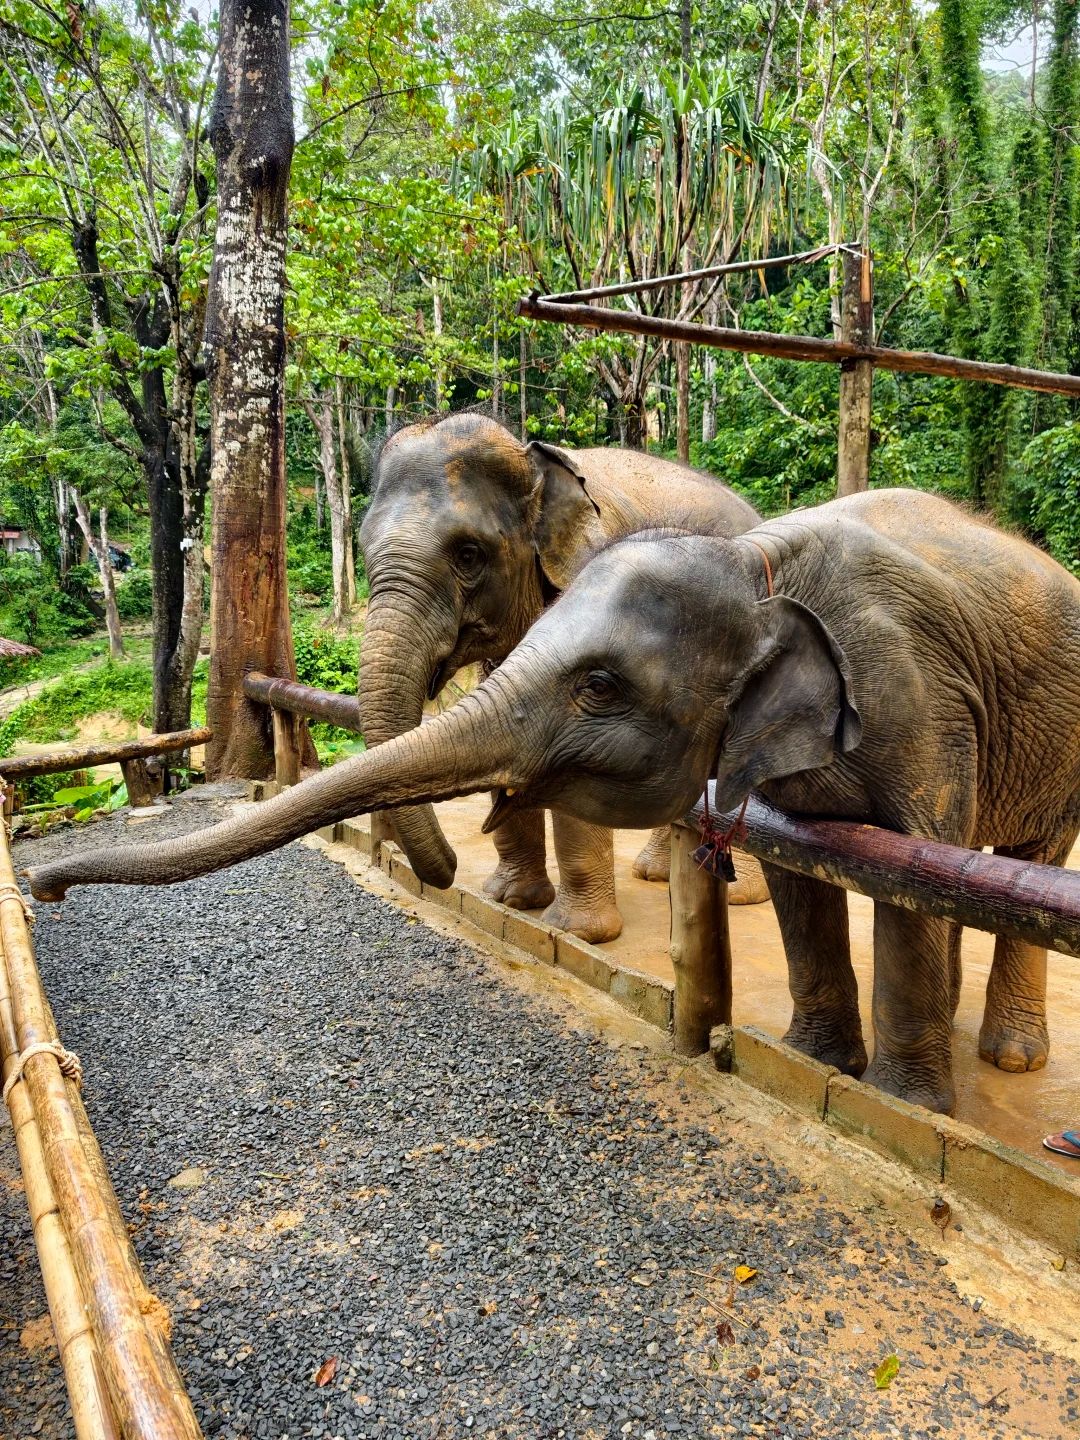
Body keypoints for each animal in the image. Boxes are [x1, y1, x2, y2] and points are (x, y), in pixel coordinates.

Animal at [29, 489, 1080, 1113]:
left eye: (602, 687)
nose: (44, 888)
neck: (755, 563)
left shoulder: (920, 702)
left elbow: (911, 876)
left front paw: (903, 1109)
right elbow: (800, 872)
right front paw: (820, 1068)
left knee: (1030, 865)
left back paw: (1008, 1060)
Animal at [356, 411, 766, 944]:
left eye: (468, 554)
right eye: (364, 551)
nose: (447, 870)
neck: (532, 460)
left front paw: (579, 932)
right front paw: (511, 900)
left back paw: (741, 896)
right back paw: (656, 874)